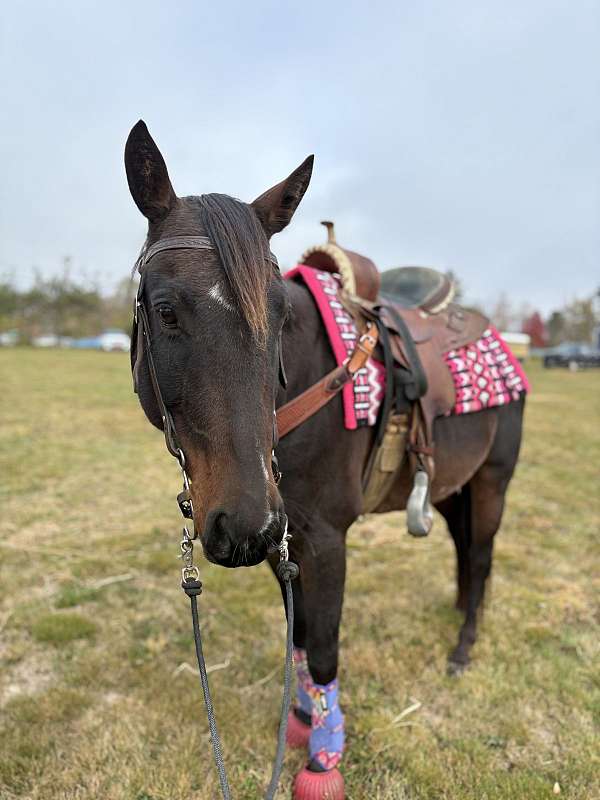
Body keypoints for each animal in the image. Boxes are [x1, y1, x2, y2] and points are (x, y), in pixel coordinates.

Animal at [124, 120, 525, 800]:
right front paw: (300, 721)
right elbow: (301, 632)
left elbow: (325, 647)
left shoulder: (326, 538)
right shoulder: (279, 536)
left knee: (480, 554)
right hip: (451, 487)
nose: (240, 522)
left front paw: (323, 758)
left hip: (493, 481)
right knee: (462, 547)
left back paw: (463, 649)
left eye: (280, 316)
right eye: (165, 309)